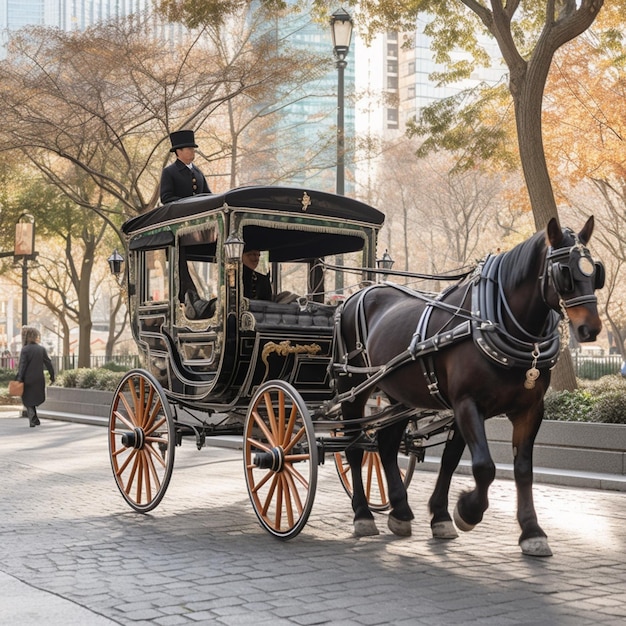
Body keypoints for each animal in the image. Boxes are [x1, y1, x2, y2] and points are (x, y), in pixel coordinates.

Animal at [334, 217, 604, 552]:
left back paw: (400, 510)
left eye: (595, 272)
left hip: (399, 395)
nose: (591, 329)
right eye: (564, 272)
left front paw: (529, 530)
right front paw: (467, 511)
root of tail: (357, 294)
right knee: (354, 448)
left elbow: (511, 467)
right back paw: (362, 514)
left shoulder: (527, 410)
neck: (496, 321)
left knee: (384, 443)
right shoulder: (466, 403)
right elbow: (484, 466)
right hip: (352, 387)